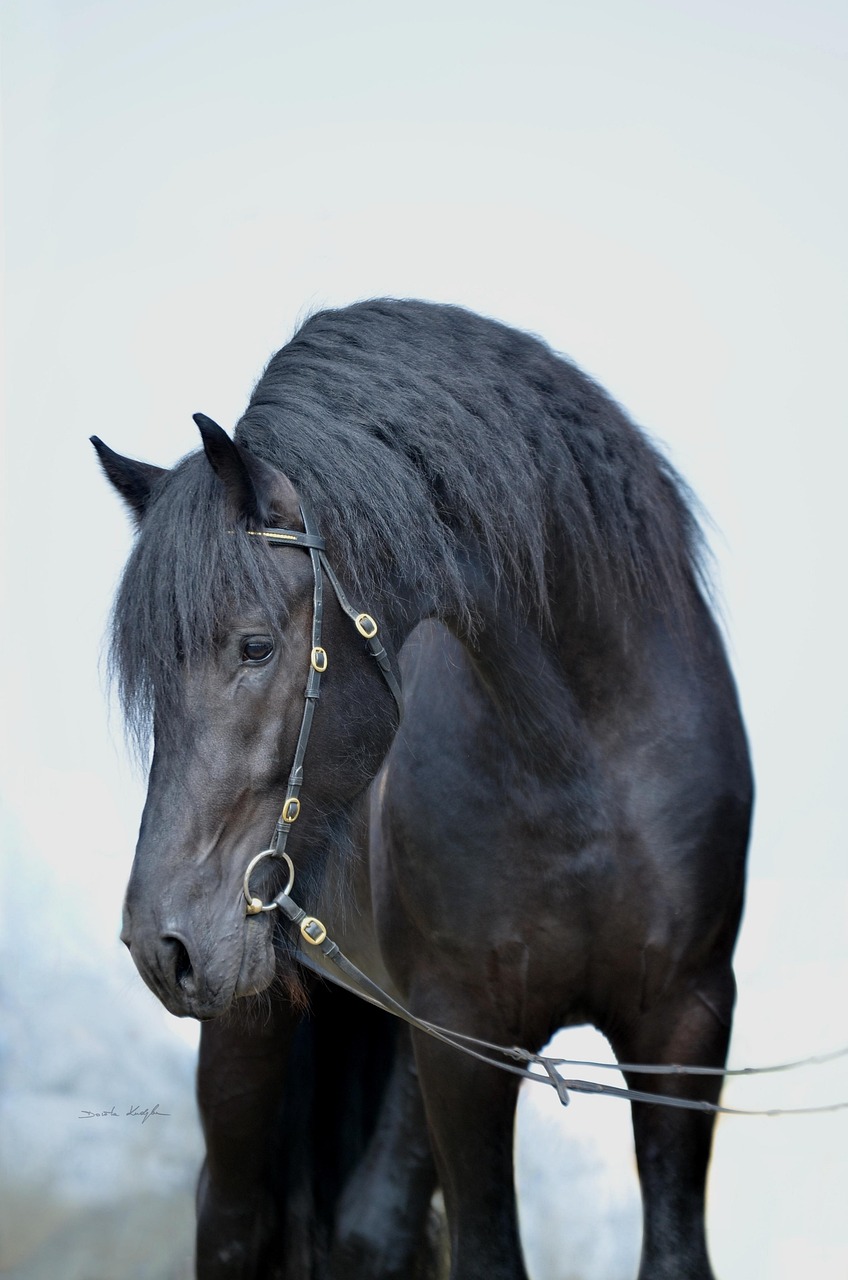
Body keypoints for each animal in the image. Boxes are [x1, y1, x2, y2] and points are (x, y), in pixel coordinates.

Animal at [93, 299, 753, 1280]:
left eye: (254, 647)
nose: (158, 944)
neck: (589, 770)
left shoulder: (685, 1027)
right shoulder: (462, 1047)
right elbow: (485, 1251)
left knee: (375, 1221)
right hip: (262, 1036)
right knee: (238, 1217)